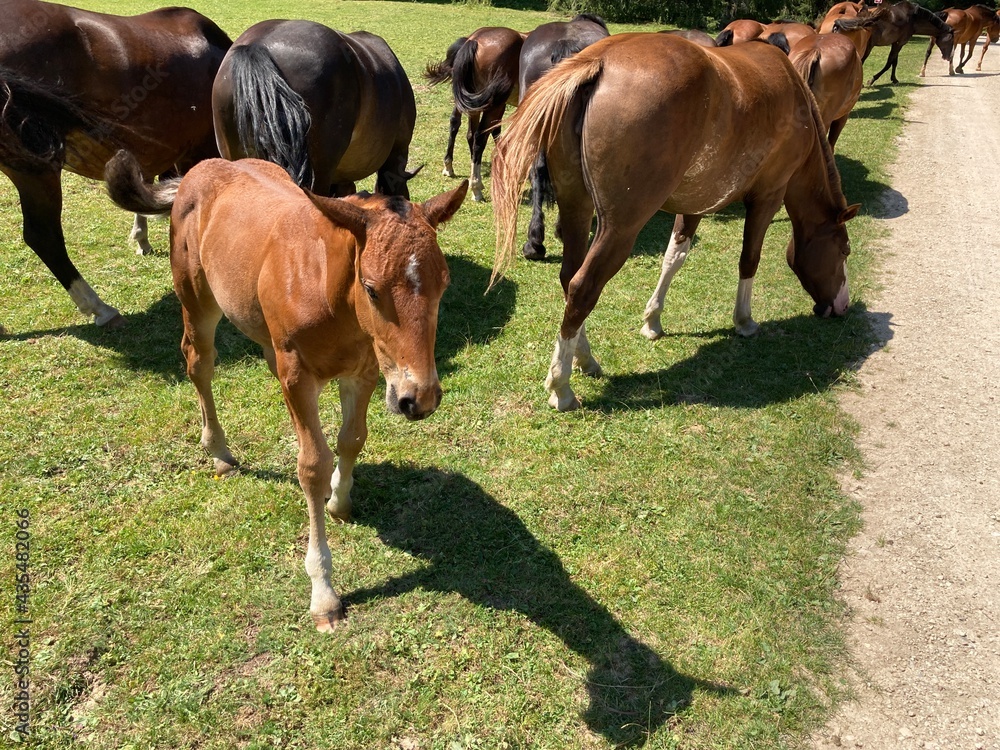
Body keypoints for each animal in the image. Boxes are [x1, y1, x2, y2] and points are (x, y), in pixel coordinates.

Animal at [104, 151, 468, 630]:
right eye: (371, 289)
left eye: (444, 283)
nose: (419, 399)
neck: (329, 289)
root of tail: (199, 168)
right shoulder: (298, 374)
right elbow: (312, 464)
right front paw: (324, 593)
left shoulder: (366, 371)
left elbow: (352, 439)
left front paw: (339, 501)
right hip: (196, 301)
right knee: (198, 364)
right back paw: (218, 450)